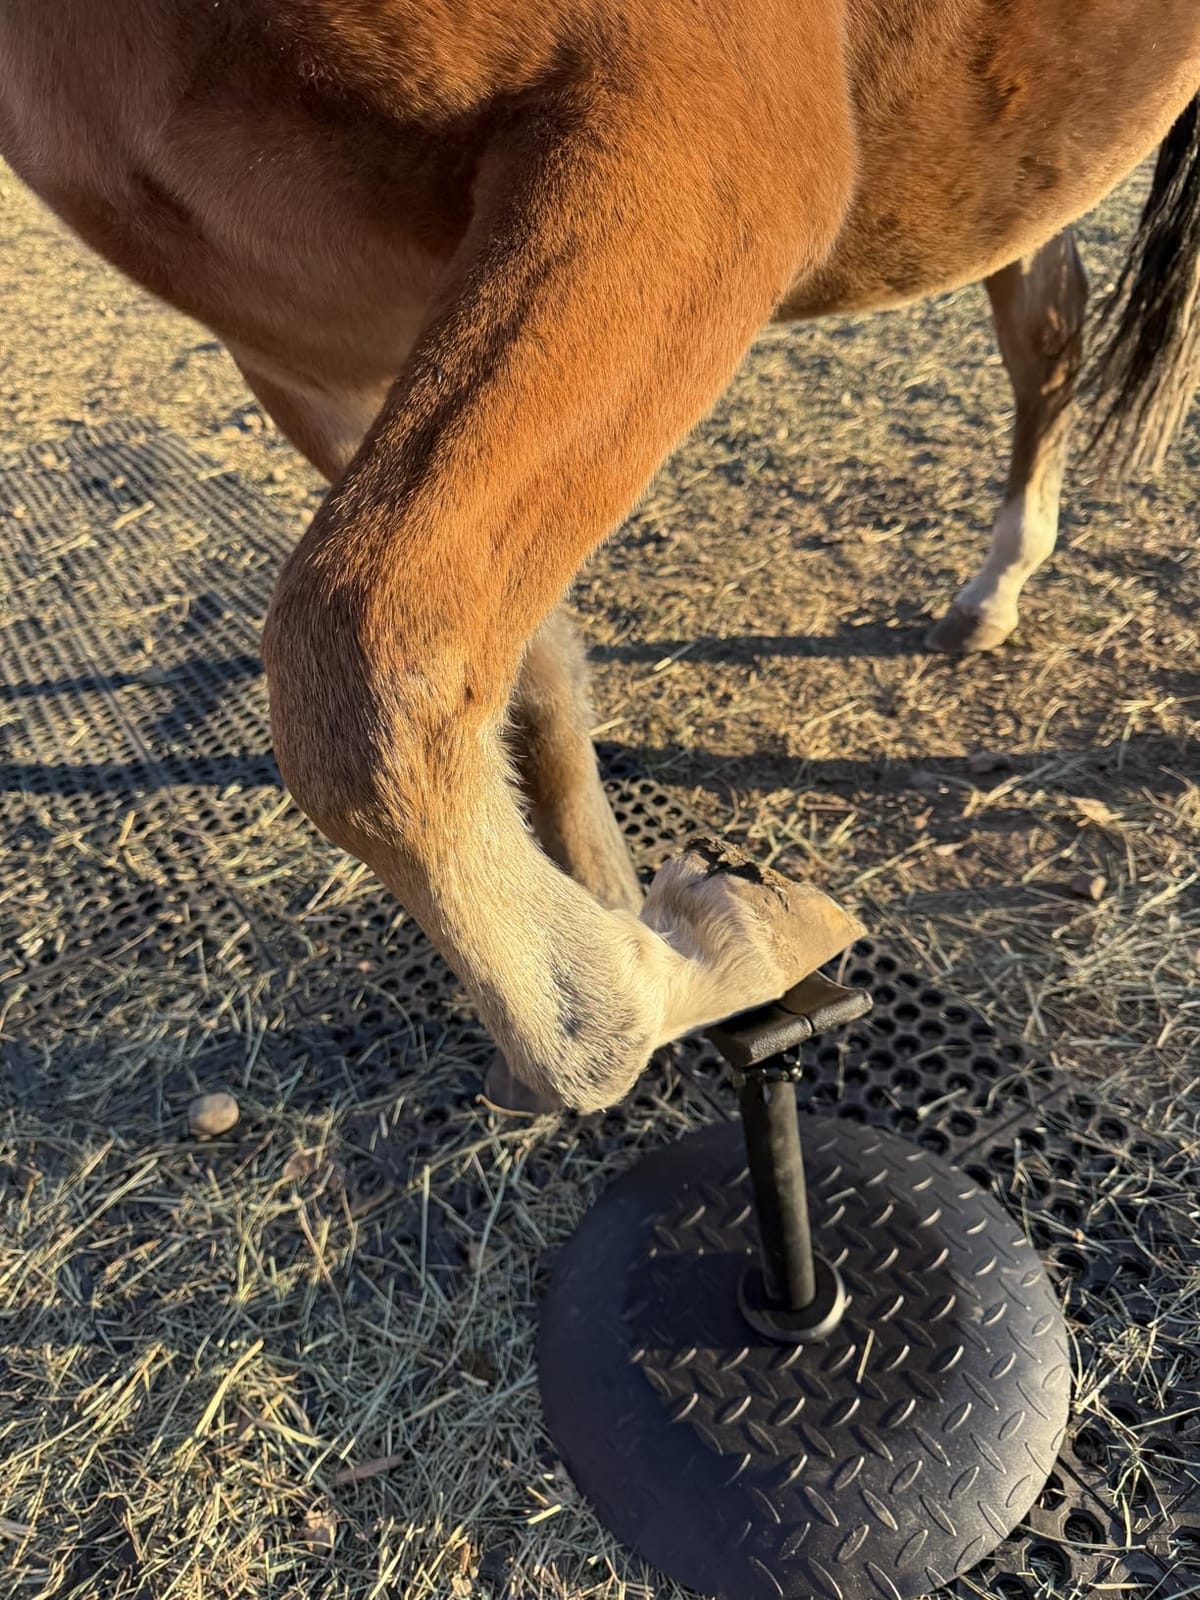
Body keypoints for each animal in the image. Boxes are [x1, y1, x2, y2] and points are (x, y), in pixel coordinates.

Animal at [1, 1, 1197, 1115]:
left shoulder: (688, 155)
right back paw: (996, 585)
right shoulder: (303, 351)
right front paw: (614, 909)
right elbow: (505, 668)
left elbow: (366, 658)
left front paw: (694, 956)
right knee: (1046, 320)